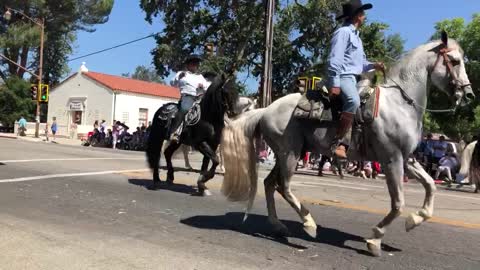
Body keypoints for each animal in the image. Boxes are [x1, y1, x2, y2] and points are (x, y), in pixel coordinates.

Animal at [220, 34, 472, 258]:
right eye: (455, 61)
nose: (468, 93)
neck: (400, 104)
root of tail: (266, 110)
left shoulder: (407, 159)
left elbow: (430, 185)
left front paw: (415, 219)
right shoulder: (392, 158)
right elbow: (398, 202)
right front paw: (375, 239)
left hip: (287, 154)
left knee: (270, 184)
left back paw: (279, 225)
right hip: (289, 153)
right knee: (285, 186)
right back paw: (309, 223)